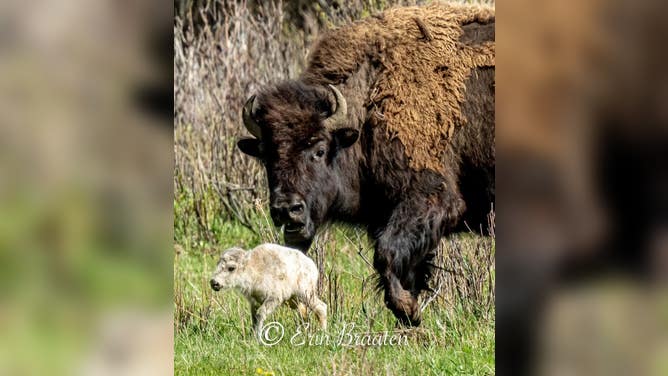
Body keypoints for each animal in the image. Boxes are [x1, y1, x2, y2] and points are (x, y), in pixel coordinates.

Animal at [237, 2, 494, 324]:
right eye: (266, 156)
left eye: (320, 149)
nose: (287, 210)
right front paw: (409, 313)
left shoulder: (431, 198)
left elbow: (386, 254)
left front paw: (407, 309)